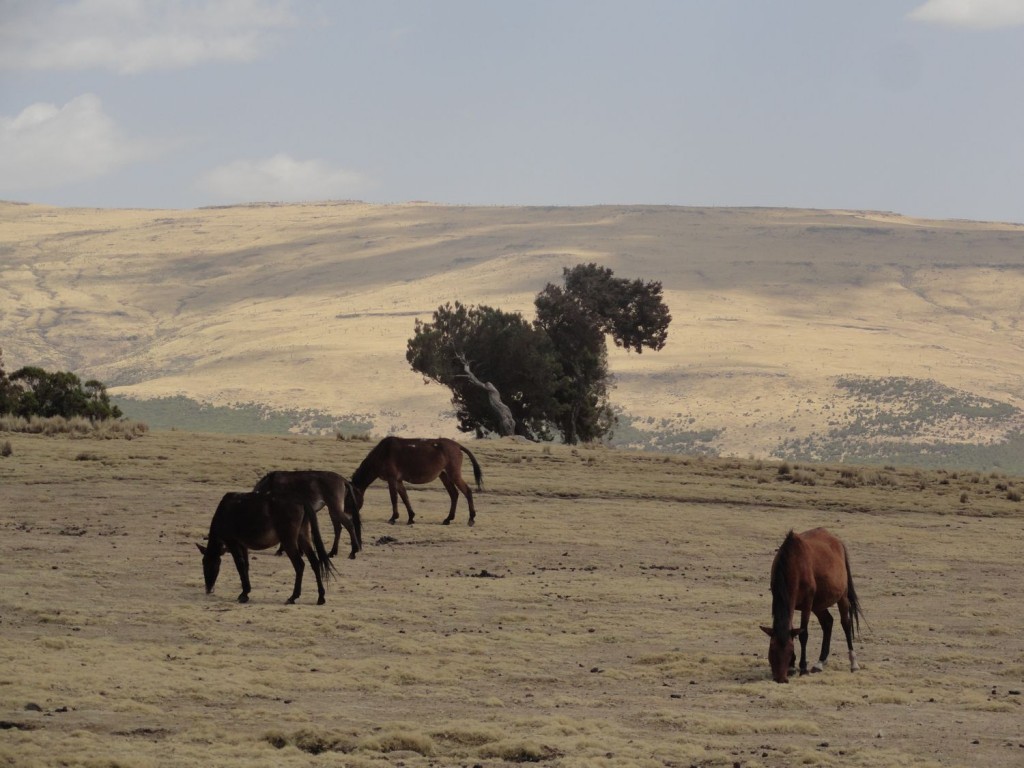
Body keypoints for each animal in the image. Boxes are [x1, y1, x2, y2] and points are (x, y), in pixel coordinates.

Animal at [192, 493, 335, 606]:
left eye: (209, 564)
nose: (208, 589)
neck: (224, 512)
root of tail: (300, 500)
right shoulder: (243, 544)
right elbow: (245, 565)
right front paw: (246, 592)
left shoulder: (232, 542)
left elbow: (240, 565)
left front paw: (243, 594)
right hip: (303, 536)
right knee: (315, 562)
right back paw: (321, 597)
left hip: (288, 540)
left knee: (300, 565)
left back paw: (293, 597)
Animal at [354, 436, 485, 528]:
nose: (355, 516)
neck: (382, 453)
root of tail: (458, 446)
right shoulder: (398, 480)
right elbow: (405, 498)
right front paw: (411, 517)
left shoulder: (392, 479)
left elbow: (394, 498)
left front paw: (393, 518)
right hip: (444, 475)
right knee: (454, 494)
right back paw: (448, 519)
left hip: (454, 474)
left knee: (467, 492)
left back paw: (471, 519)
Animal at [761, 528, 864, 684]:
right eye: (771, 650)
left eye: (789, 650)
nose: (780, 679)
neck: (793, 563)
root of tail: (838, 542)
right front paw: (792, 667)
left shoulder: (807, 604)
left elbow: (803, 634)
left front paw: (803, 668)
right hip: (819, 605)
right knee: (828, 622)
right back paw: (820, 662)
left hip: (842, 597)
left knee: (845, 624)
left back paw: (854, 663)